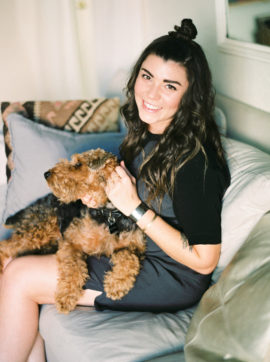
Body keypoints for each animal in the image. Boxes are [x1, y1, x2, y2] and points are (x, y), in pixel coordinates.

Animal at [0, 148, 146, 312]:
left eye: (77, 164)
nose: (46, 174)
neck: (109, 213)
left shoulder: (134, 247)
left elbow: (129, 258)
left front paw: (117, 284)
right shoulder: (71, 242)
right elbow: (73, 267)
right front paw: (65, 297)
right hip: (37, 233)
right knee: (5, 246)